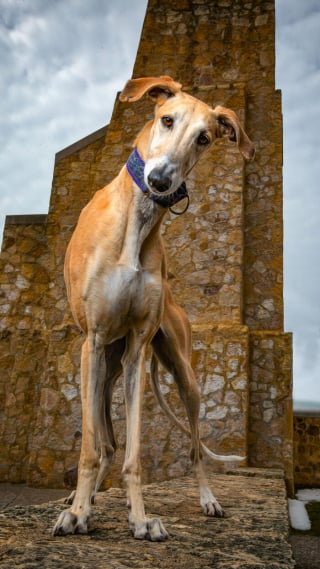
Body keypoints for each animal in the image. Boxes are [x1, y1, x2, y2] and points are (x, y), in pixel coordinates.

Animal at [53, 76, 255, 540]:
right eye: (167, 119)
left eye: (203, 138)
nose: (160, 180)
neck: (138, 221)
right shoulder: (93, 342)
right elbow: (90, 448)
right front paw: (77, 513)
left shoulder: (137, 351)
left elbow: (134, 456)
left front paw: (140, 518)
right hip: (101, 368)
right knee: (105, 442)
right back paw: (86, 501)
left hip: (181, 374)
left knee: (194, 446)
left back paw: (207, 499)